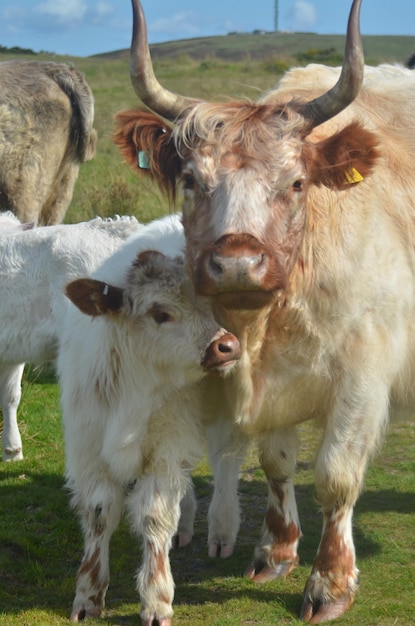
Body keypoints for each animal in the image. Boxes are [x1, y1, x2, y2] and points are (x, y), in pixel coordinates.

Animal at [58, 214, 240, 624]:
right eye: (161, 314)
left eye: (210, 303)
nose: (228, 346)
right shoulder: (87, 449)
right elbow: (99, 512)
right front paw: (88, 594)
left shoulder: (166, 449)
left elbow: (155, 515)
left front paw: (156, 599)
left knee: (226, 463)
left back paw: (222, 530)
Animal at [112, 0, 415, 620]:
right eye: (191, 180)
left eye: (296, 183)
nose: (236, 263)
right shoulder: (272, 384)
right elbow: (277, 463)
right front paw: (277, 551)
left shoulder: (363, 376)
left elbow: (336, 476)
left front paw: (329, 583)